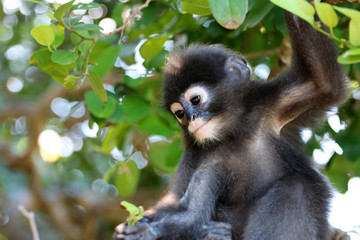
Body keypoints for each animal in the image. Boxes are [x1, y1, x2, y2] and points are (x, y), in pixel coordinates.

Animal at [114, 10, 348, 240]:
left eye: (195, 100)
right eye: (179, 114)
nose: (190, 118)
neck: (234, 134)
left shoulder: (271, 105)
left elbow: (323, 83)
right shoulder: (201, 159)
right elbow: (191, 212)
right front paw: (145, 231)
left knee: (298, 186)